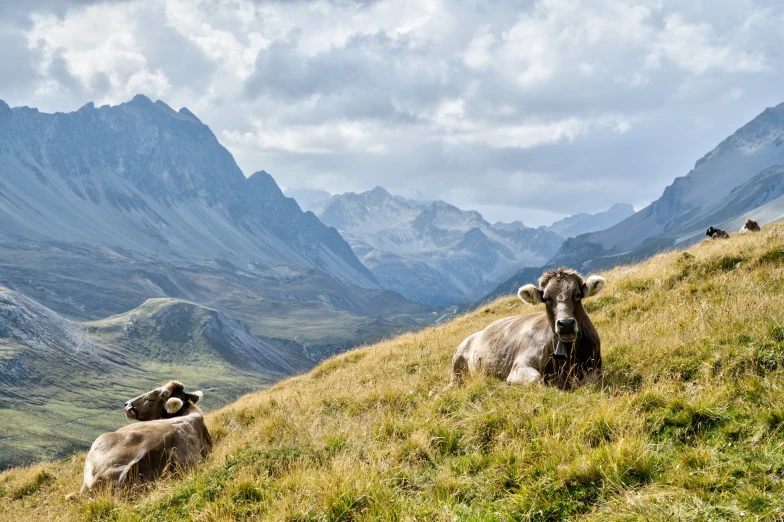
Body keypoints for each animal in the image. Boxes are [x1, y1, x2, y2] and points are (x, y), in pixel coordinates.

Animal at [448, 266, 608, 388]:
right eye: (546, 298)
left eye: (577, 294)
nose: (566, 323)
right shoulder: (519, 366)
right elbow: (536, 380)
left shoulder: (595, 367)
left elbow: (592, 380)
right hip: (457, 368)